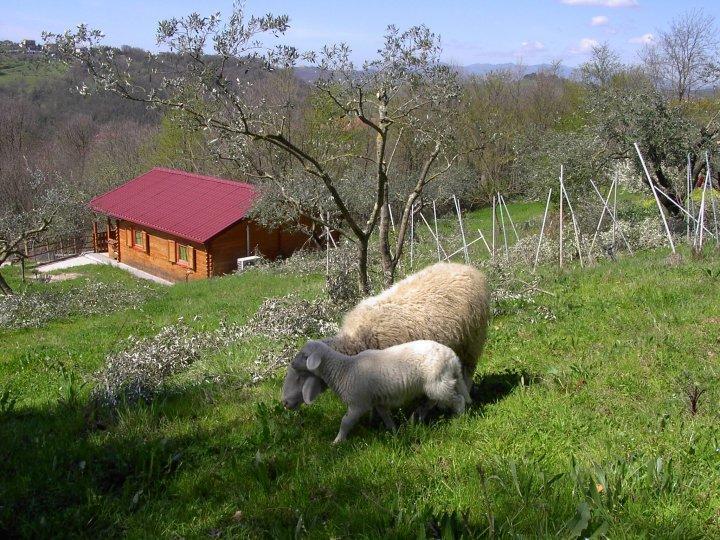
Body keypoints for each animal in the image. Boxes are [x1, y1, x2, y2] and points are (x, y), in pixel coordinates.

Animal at [282, 262, 490, 410]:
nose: (284, 403)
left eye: (300, 376)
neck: (355, 340)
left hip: (472, 342)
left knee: (467, 372)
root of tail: (468, 268)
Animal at [290, 342, 470, 442]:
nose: (291, 364)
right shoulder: (378, 402)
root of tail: (453, 357)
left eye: (304, 355)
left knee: (458, 399)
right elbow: (386, 416)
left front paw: (337, 441)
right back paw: (417, 417)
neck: (344, 370)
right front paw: (394, 433)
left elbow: (345, 422)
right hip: (436, 382)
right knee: (434, 400)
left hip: (438, 381)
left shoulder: (358, 403)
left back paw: (459, 418)